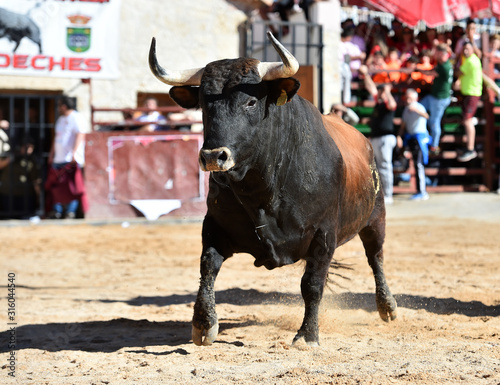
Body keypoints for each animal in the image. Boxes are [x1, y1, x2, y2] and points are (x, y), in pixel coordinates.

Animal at [148, 33, 398, 344]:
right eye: (204, 105)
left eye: (251, 102)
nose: (213, 156)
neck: (265, 187)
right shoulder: (215, 225)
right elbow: (208, 265)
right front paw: (204, 324)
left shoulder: (324, 233)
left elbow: (312, 284)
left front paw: (307, 334)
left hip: (376, 217)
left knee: (376, 256)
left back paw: (387, 306)